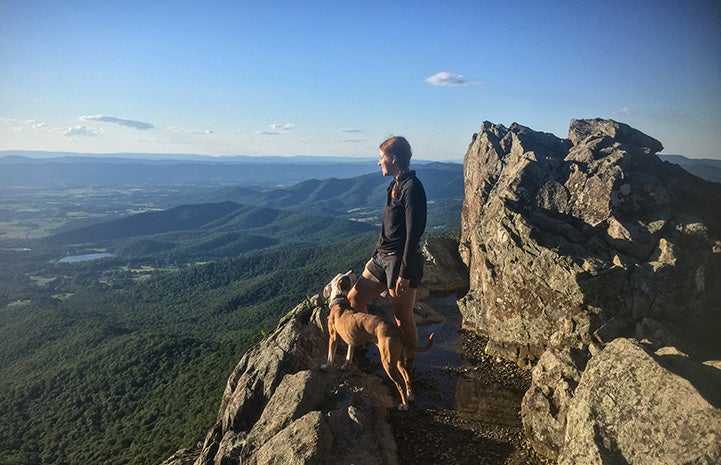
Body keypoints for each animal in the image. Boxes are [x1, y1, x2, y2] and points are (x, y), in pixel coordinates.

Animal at [320, 268, 434, 410]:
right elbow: (349, 354)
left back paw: (404, 405)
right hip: (399, 359)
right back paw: (410, 396)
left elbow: (330, 355)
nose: (351, 271)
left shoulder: (333, 336)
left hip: (387, 361)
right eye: (345, 275)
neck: (339, 301)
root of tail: (395, 328)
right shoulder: (352, 339)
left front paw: (326, 366)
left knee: (400, 383)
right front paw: (346, 366)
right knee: (407, 376)